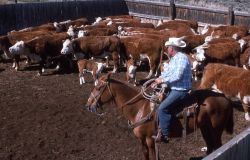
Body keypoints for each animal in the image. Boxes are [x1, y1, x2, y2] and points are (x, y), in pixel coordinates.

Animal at [86, 74, 234, 160]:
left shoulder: (150, 140)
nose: (88, 105)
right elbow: (145, 155)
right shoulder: (141, 140)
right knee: (210, 147)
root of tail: (224, 97)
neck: (139, 108)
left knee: (218, 146)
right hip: (205, 129)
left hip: (216, 130)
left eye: (98, 88)